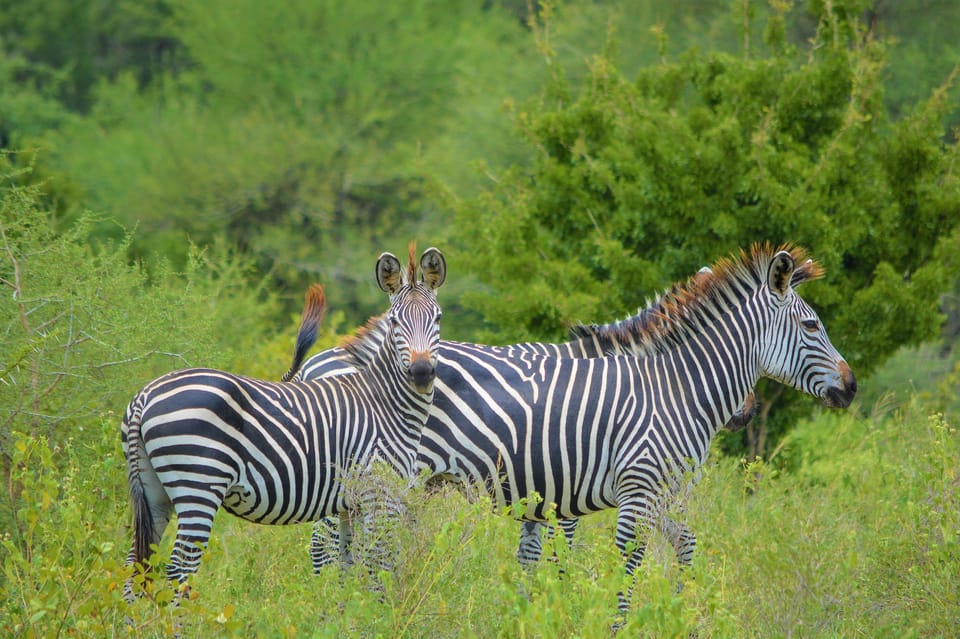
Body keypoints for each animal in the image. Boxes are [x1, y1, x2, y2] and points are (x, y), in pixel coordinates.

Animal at [120, 246, 446, 604]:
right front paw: (378, 612)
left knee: (135, 568)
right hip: (199, 486)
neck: (384, 402)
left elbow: (348, 568)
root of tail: (144, 396)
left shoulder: (350, 504)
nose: (421, 373)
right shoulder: (379, 496)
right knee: (178, 569)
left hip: (153, 491)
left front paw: (342, 612)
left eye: (438, 319)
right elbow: (377, 567)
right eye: (395, 322)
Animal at [288, 262, 760, 572]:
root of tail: (316, 363)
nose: (747, 412)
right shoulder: (567, 484)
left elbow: (530, 558)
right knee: (321, 543)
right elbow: (560, 557)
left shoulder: (541, 488)